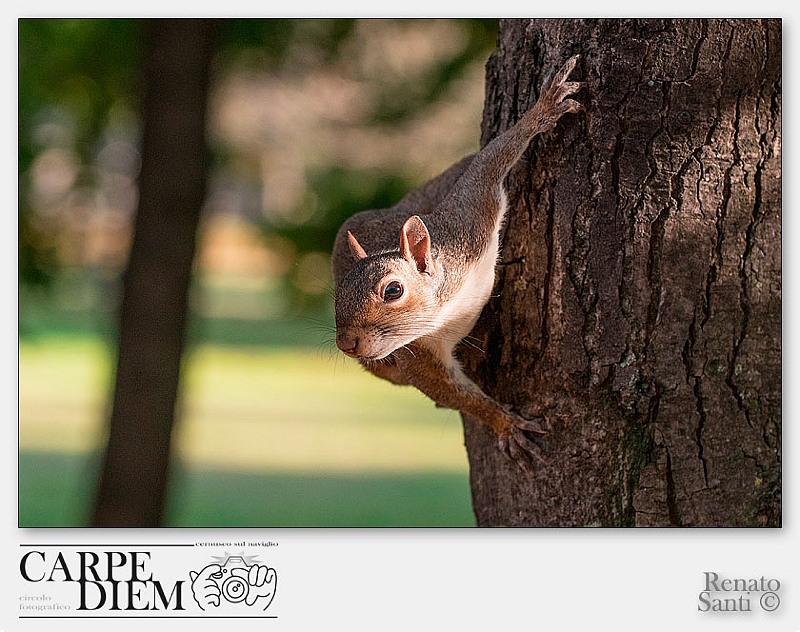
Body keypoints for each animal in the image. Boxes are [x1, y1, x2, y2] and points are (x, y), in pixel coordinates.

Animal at [330, 54, 580, 472]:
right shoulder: (414, 355)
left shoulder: (469, 221)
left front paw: (541, 111)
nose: (346, 344)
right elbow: (449, 393)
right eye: (337, 293)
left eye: (393, 290)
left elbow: (487, 166)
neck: (446, 307)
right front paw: (505, 424)